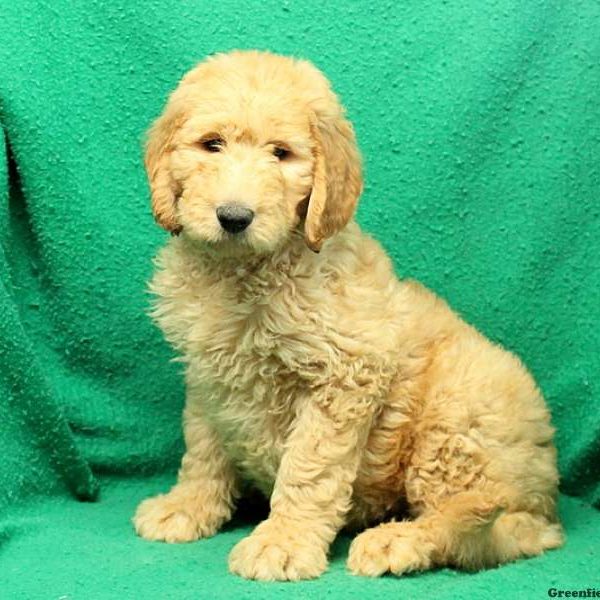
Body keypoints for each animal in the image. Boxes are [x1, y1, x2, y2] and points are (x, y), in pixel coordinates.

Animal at [132, 50, 564, 580]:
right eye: (211, 145)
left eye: (281, 154)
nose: (234, 217)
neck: (244, 272)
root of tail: (549, 503)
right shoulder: (208, 376)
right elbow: (203, 448)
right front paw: (188, 507)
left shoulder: (345, 374)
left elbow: (308, 470)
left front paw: (283, 541)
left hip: (459, 413)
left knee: (481, 524)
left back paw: (398, 541)